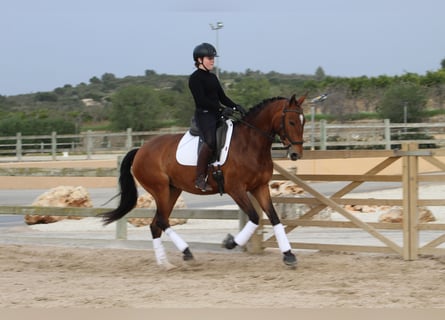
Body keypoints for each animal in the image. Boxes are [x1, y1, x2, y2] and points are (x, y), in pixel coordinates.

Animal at [100, 94, 306, 268]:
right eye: (291, 121)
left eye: (303, 122)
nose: (296, 154)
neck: (250, 144)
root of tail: (140, 150)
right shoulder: (236, 189)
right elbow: (255, 217)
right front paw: (230, 242)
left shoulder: (260, 187)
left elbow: (274, 218)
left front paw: (289, 255)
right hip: (160, 189)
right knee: (162, 221)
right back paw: (186, 252)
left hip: (173, 190)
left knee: (156, 224)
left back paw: (165, 263)